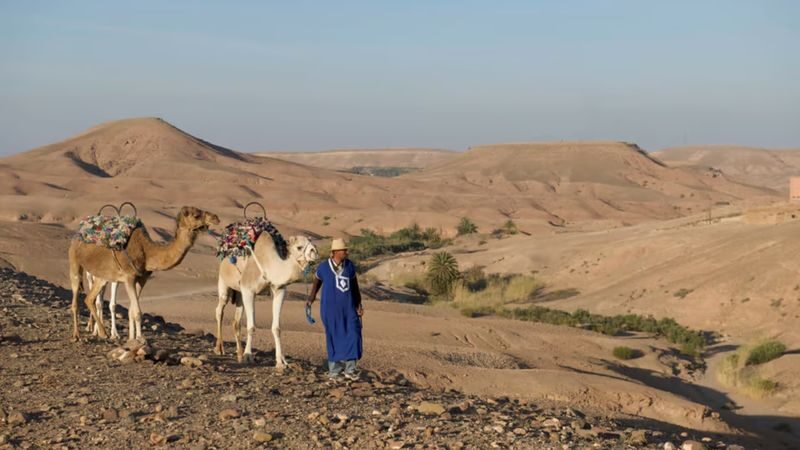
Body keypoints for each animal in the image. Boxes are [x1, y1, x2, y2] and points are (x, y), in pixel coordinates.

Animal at [69, 206, 219, 341]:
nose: (216, 218)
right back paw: (78, 335)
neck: (147, 252)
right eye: (196, 215)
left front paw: (132, 339)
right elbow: (137, 312)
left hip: (102, 276)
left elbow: (131, 311)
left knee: (89, 299)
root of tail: (78, 233)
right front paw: (140, 340)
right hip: (75, 263)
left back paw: (101, 332)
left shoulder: (141, 279)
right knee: (76, 299)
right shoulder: (129, 278)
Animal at [215, 233, 318, 367]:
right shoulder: (248, 290)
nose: (315, 252)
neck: (269, 265)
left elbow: (277, 328)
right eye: (299, 247)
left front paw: (280, 362)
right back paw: (220, 349)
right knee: (219, 310)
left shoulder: (279, 290)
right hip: (224, 283)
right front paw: (248, 356)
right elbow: (251, 326)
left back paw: (239, 354)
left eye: (312, 243)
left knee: (236, 321)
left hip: (239, 294)